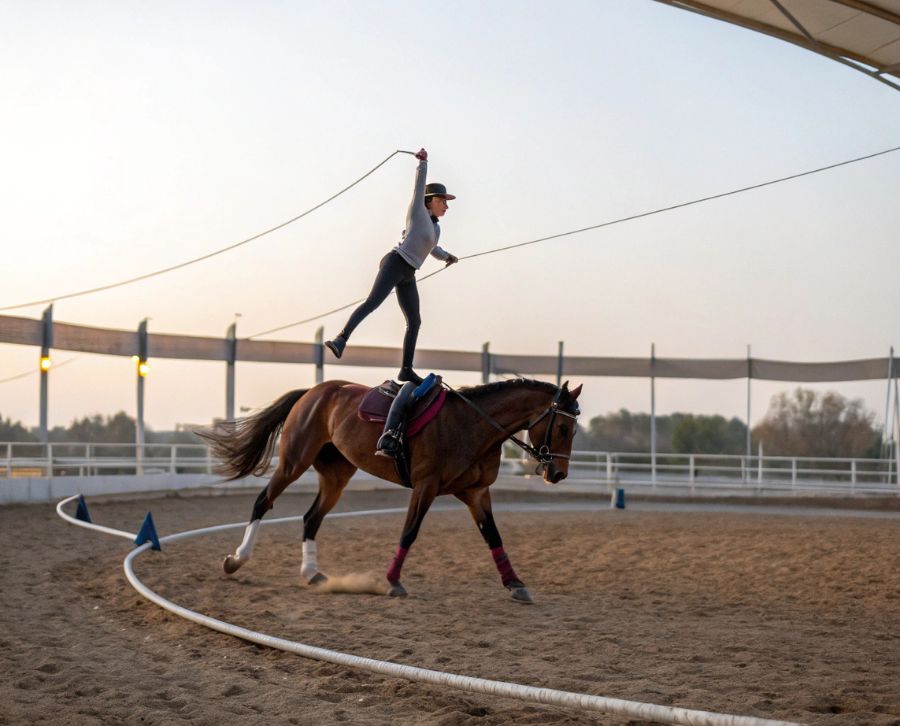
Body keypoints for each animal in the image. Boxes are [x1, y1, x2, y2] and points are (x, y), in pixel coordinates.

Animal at [200, 382, 580, 604]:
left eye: (574, 429)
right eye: (563, 427)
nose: (558, 474)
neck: (473, 426)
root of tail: (313, 391)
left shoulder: (476, 493)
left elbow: (494, 538)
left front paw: (515, 584)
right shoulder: (426, 487)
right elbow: (409, 532)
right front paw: (392, 582)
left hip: (336, 475)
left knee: (311, 518)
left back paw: (312, 573)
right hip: (294, 461)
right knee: (263, 501)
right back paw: (237, 559)